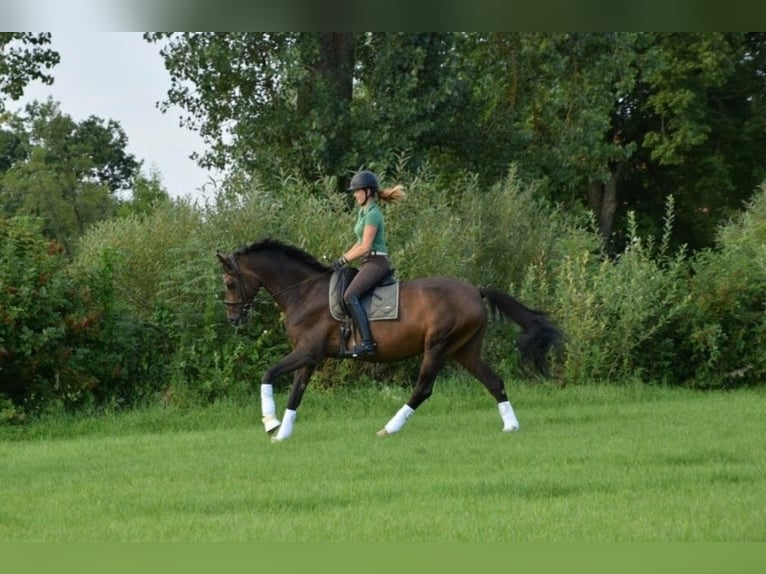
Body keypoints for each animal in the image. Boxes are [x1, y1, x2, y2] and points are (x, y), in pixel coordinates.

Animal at [217, 238, 562, 442]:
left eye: (230, 283)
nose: (233, 319)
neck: (304, 291)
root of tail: (475, 291)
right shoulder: (310, 355)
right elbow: (296, 393)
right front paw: (282, 432)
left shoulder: (306, 352)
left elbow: (268, 374)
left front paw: (269, 423)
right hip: (465, 350)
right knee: (494, 381)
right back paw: (511, 426)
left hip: (438, 346)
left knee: (423, 389)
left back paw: (389, 428)